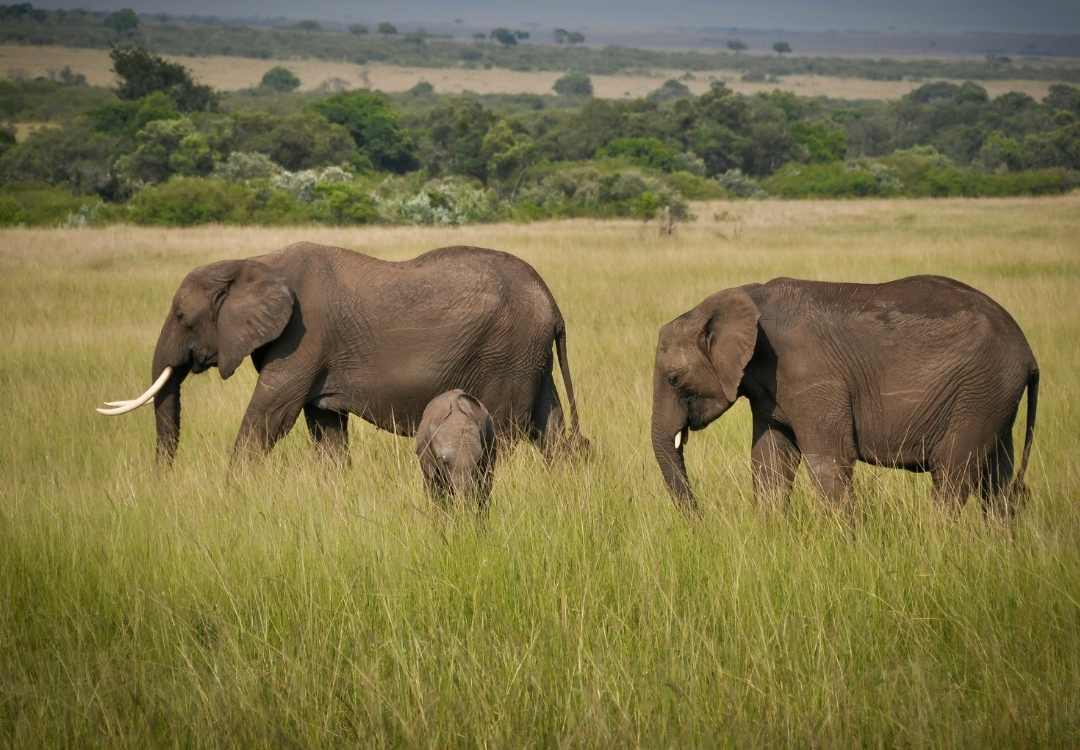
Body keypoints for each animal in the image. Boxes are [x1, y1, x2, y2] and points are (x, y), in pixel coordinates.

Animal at [97, 242, 586, 465]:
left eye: (182, 316)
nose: (163, 479)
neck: (253, 262)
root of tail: (553, 302)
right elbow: (326, 429)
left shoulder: (302, 340)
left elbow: (269, 418)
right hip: (529, 356)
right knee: (552, 429)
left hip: (507, 352)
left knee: (508, 431)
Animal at [651, 275, 1039, 517]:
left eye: (673, 379)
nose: (701, 519)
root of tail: (1028, 352)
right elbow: (770, 461)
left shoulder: (812, 376)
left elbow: (829, 459)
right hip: (993, 397)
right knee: (997, 481)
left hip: (979, 391)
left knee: (953, 474)